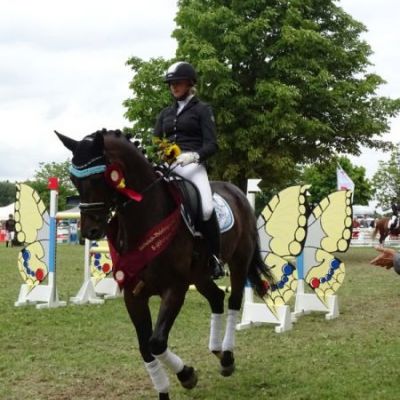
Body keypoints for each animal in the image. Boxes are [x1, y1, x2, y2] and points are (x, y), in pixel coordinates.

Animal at [56, 129, 272, 400]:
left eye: (99, 177)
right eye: (73, 180)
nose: (90, 231)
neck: (145, 217)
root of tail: (236, 191)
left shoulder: (175, 289)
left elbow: (156, 342)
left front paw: (187, 375)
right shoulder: (133, 294)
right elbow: (145, 346)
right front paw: (168, 386)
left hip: (239, 261)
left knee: (233, 301)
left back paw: (228, 356)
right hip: (199, 275)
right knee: (216, 298)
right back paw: (218, 351)